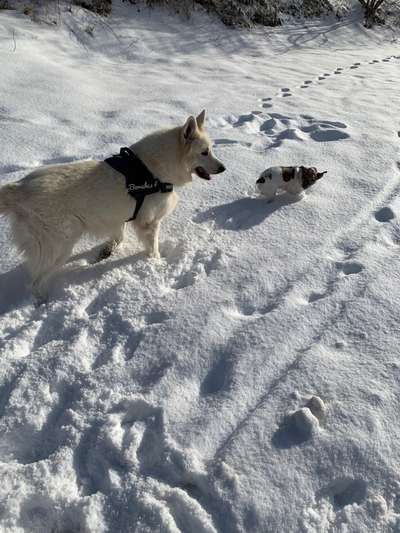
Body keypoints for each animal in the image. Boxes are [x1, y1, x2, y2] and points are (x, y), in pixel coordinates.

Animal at [0, 109, 225, 298]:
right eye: (204, 152)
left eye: (212, 150)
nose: (223, 168)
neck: (154, 170)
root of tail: (19, 187)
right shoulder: (149, 223)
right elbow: (153, 248)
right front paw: (157, 264)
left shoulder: (121, 217)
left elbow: (119, 236)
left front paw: (107, 251)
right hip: (61, 243)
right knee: (35, 282)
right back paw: (42, 302)